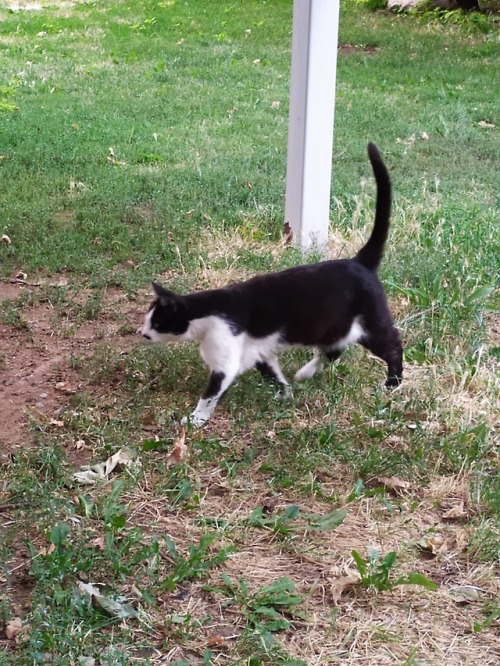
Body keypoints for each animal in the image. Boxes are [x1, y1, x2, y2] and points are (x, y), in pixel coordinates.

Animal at [140, 143, 402, 428]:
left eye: (157, 322)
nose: (142, 333)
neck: (207, 312)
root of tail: (359, 261)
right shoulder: (257, 351)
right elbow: (273, 374)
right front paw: (284, 395)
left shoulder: (226, 357)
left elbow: (210, 394)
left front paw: (195, 419)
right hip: (334, 327)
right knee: (335, 348)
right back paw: (305, 373)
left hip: (369, 323)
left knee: (393, 344)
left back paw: (392, 384)